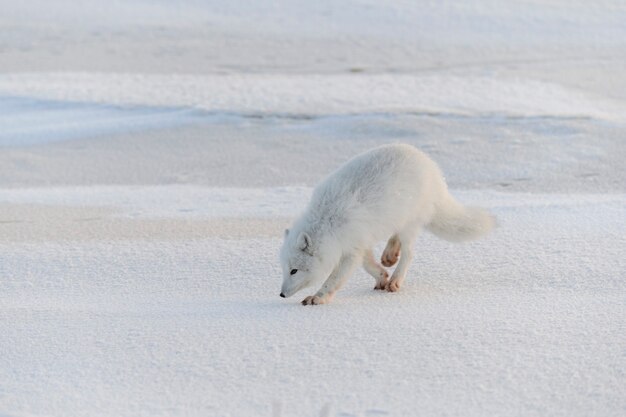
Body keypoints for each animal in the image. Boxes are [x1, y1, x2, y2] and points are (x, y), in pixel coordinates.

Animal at [280, 145, 492, 304]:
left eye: (294, 270)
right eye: (283, 269)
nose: (281, 294)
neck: (327, 221)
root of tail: (432, 168)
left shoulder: (351, 250)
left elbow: (334, 279)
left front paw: (318, 297)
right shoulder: (359, 242)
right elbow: (368, 264)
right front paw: (381, 276)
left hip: (410, 224)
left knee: (409, 253)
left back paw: (396, 279)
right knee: (395, 239)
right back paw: (389, 256)